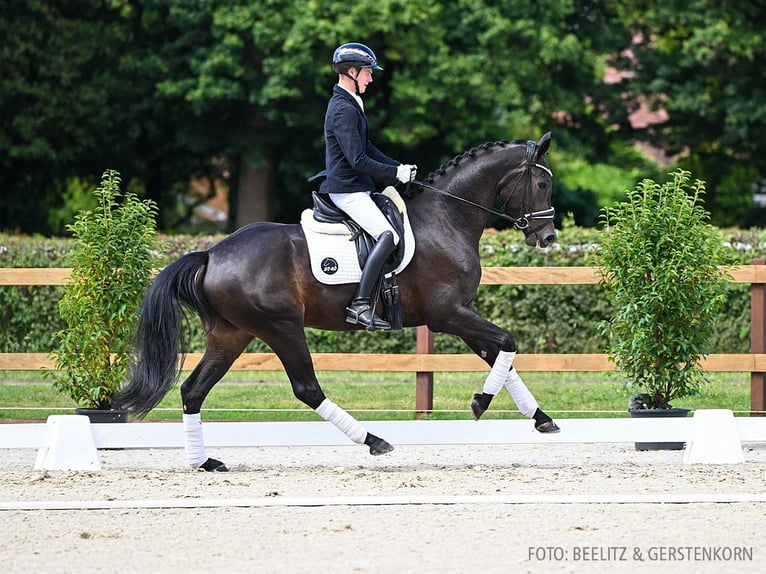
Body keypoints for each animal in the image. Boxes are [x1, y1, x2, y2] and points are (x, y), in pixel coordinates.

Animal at [121, 134, 564, 472]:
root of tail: (211, 254)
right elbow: (506, 342)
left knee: (193, 390)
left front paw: (542, 419)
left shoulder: (460, 313)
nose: (547, 238)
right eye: (542, 185)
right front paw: (480, 403)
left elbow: (501, 356)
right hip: (281, 327)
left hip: (232, 334)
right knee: (306, 389)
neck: (446, 218)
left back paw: (204, 462)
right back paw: (374, 440)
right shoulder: (448, 314)